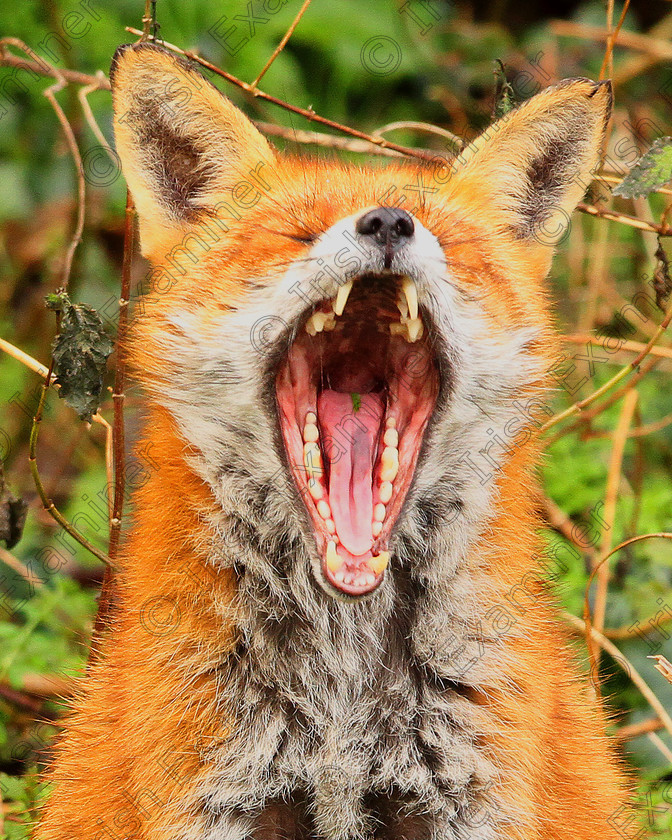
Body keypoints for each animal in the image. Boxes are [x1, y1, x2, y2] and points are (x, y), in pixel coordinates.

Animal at [35, 44, 636, 840]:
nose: (388, 223)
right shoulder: (213, 799)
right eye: (294, 235)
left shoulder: (468, 802)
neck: (342, 694)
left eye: (451, 244)